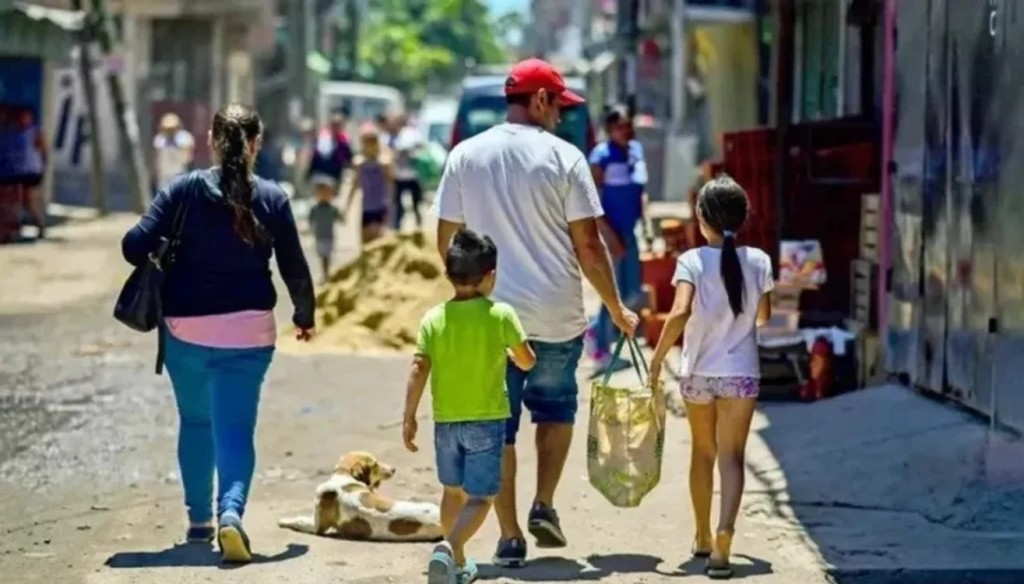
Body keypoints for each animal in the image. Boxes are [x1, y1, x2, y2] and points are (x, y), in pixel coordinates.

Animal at [278, 450, 442, 540]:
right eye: (375, 464)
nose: (393, 469)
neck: (343, 475)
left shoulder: (316, 526)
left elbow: (298, 520)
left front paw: (283, 520)